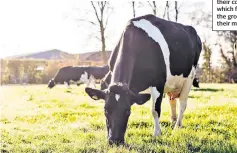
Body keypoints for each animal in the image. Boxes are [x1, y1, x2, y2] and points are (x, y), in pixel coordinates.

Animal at [84, 14, 202, 145]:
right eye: (105, 110)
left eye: (128, 111)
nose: (114, 140)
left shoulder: (158, 83)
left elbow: (155, 110)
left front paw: (157, 133)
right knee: (172, 100)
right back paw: (173, 120)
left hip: (189, 79)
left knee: (182, 104)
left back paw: (177, 126)